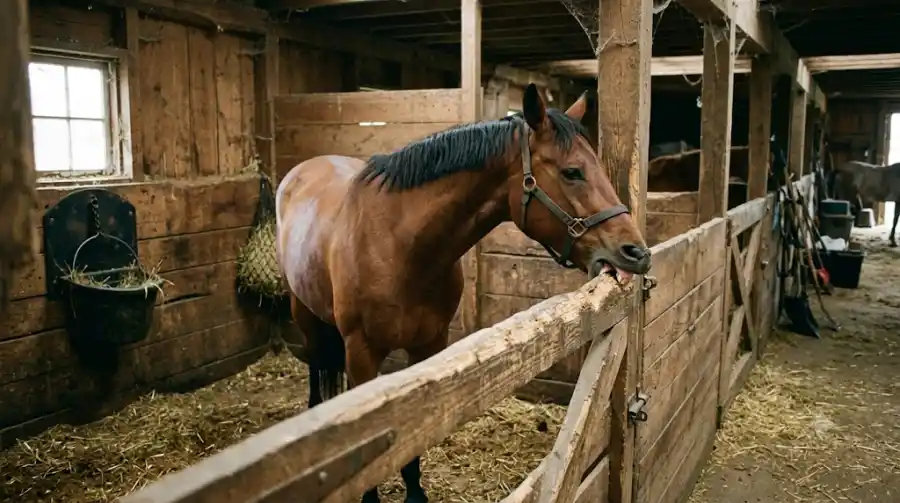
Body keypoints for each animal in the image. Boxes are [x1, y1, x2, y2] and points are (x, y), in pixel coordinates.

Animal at [275, 84, 652, 503]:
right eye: (572, 172)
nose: (637, 253)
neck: (397, 246)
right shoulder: (362, 354)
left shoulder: (429, 346)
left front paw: (415, 492)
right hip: (303, 312)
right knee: (315, 366)